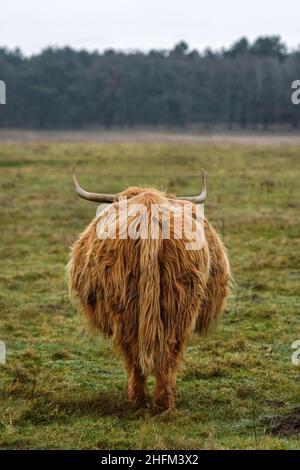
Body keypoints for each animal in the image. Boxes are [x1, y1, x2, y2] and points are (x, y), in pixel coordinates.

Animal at [68, 168, 231, 412]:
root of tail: (150, 220)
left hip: (124, 302)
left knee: (132, 350)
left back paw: (137, 400)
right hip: (180, 299)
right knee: (169, 348)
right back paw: (163, 403)